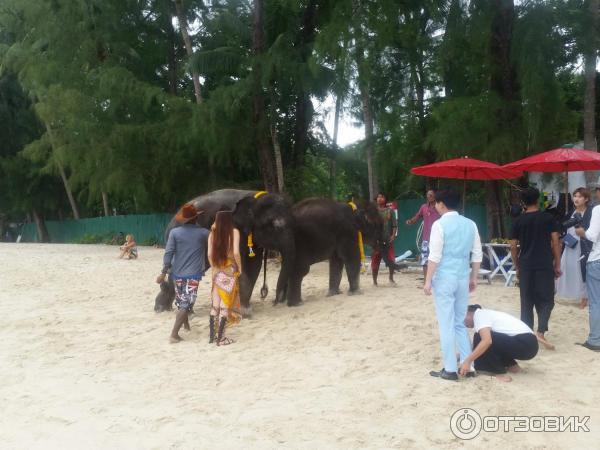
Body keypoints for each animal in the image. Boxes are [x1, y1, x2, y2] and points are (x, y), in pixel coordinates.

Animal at [155, 188, 296, 314]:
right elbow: (238, 262)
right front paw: (244, 311)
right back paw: (168, 308)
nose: (275, 302)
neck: (255, 198)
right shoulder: (232, 229)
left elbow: (254, 264)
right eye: (274, 226)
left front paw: (243, 309)